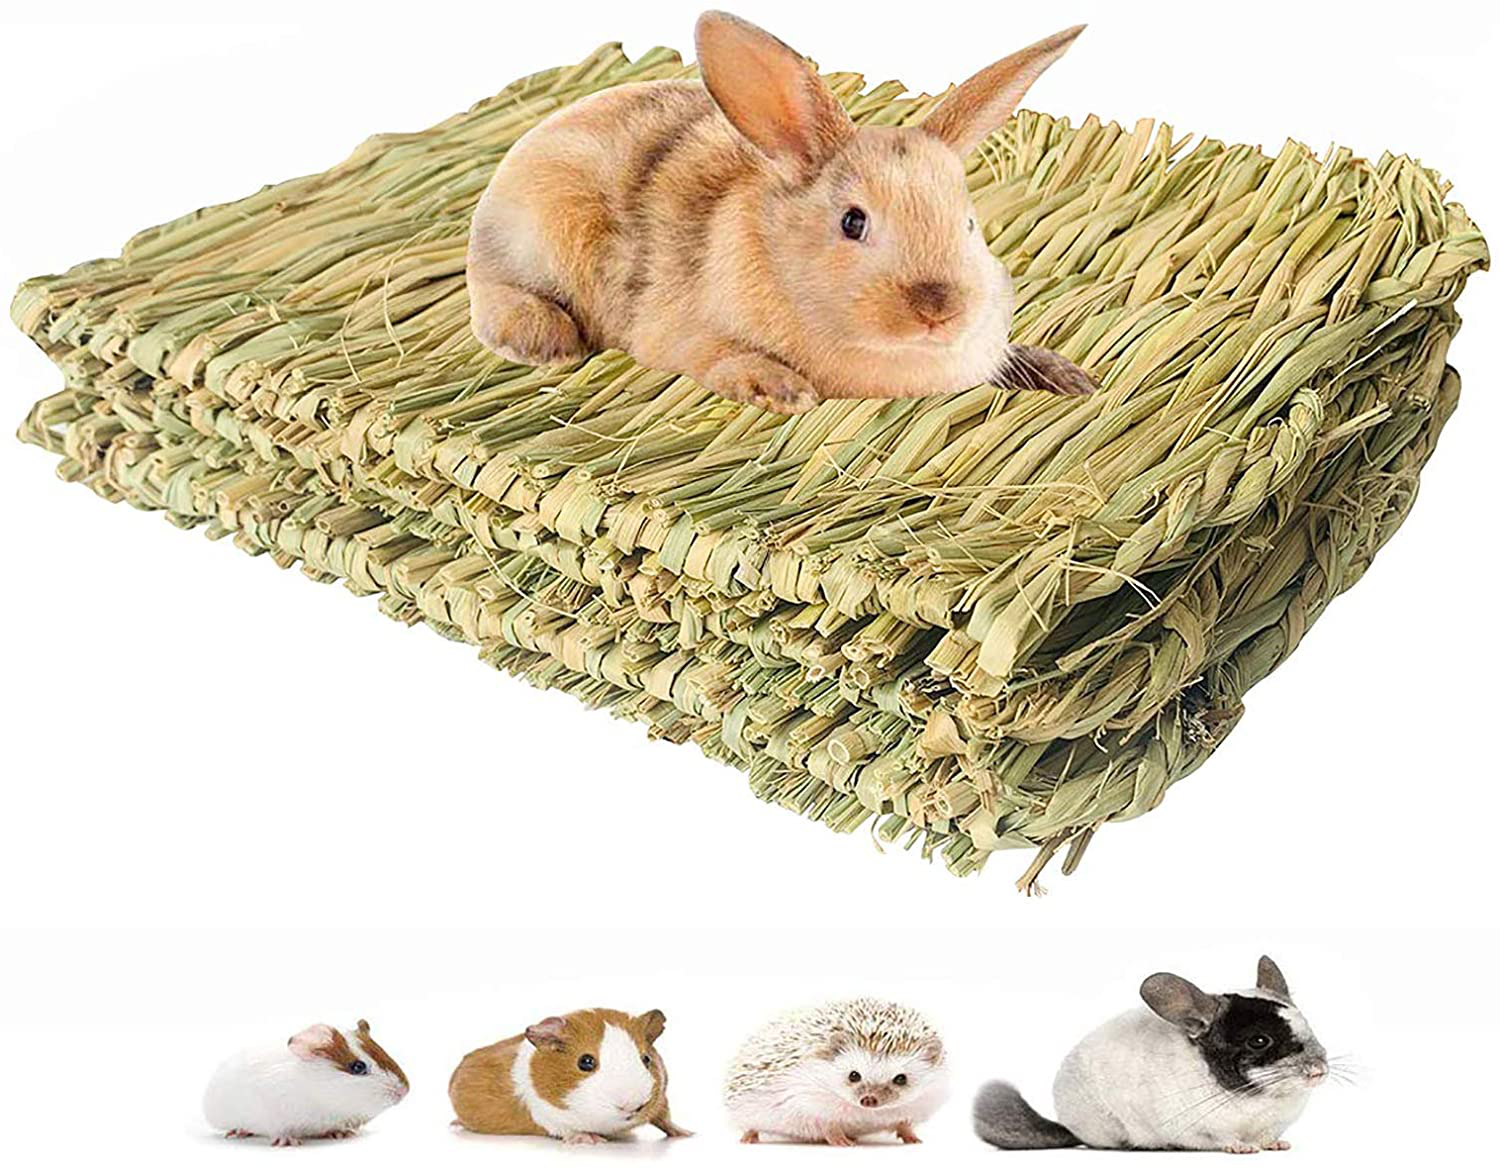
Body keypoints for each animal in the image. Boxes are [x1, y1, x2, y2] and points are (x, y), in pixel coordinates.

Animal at [466, 10, 1096, 413]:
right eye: (853, 222)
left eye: (968, 223)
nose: (939, 310)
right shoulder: (678, 334)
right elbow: (711, 354)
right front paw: (781, 390)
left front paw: (1068, 377)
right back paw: (542, 340)